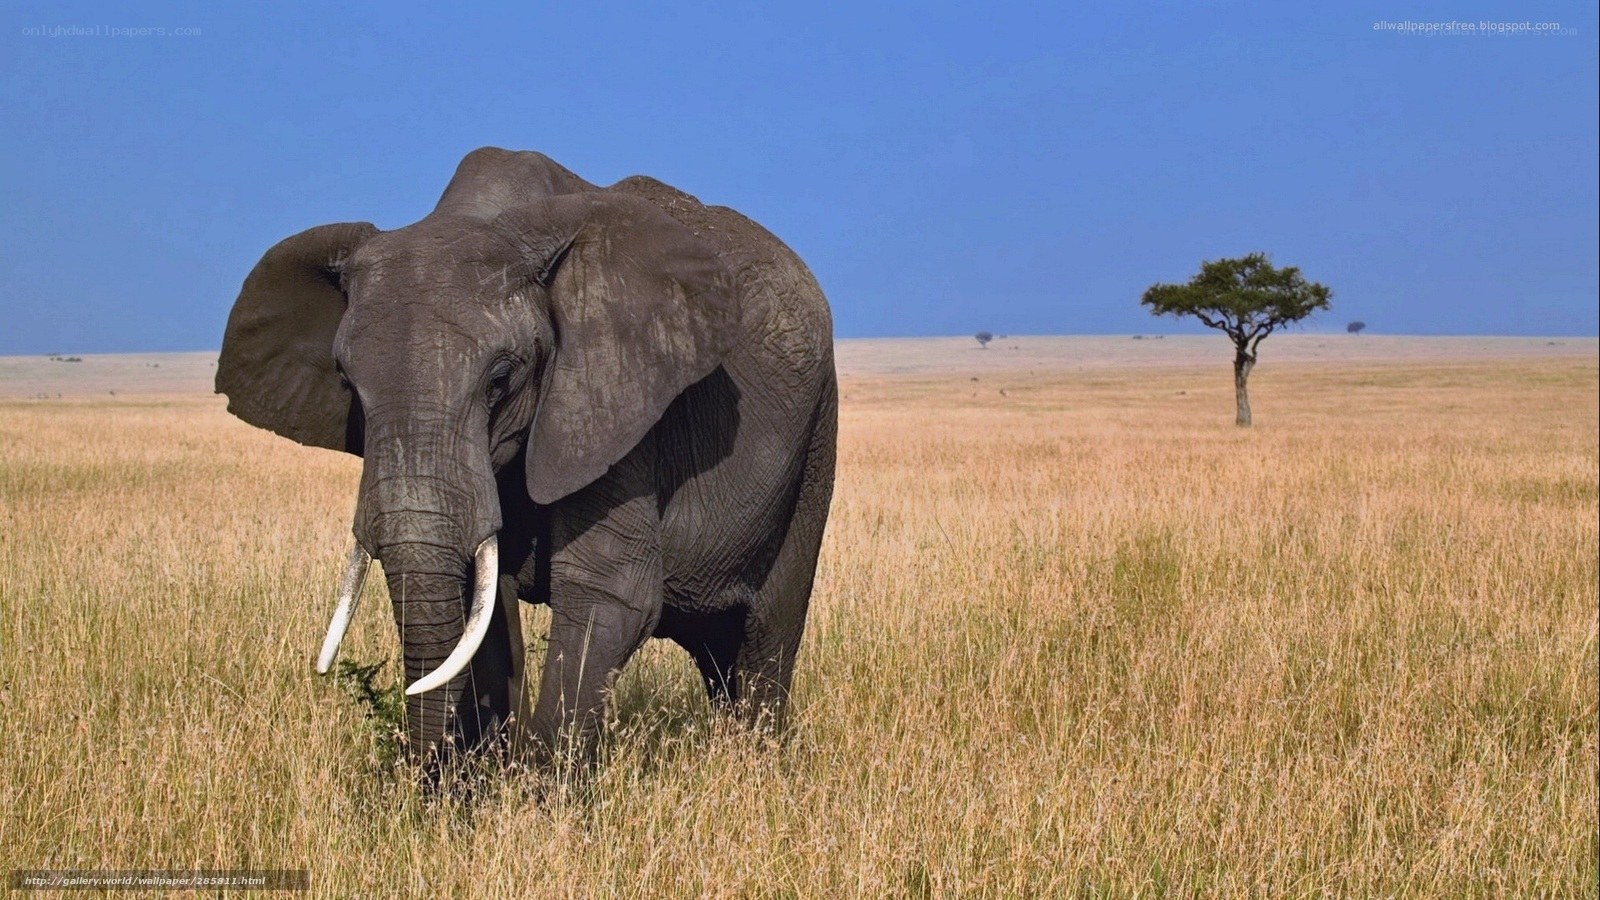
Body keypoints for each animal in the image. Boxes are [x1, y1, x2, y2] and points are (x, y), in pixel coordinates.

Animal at [216, 147, 836, 775]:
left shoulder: (615, 398)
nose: (427, 774)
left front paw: (540, 789)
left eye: (500, 380)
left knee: (764, 634)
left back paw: (757, 763)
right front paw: (481, 781)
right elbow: (484, 605)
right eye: (347, 383)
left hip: (816, 438)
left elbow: (609, 591)